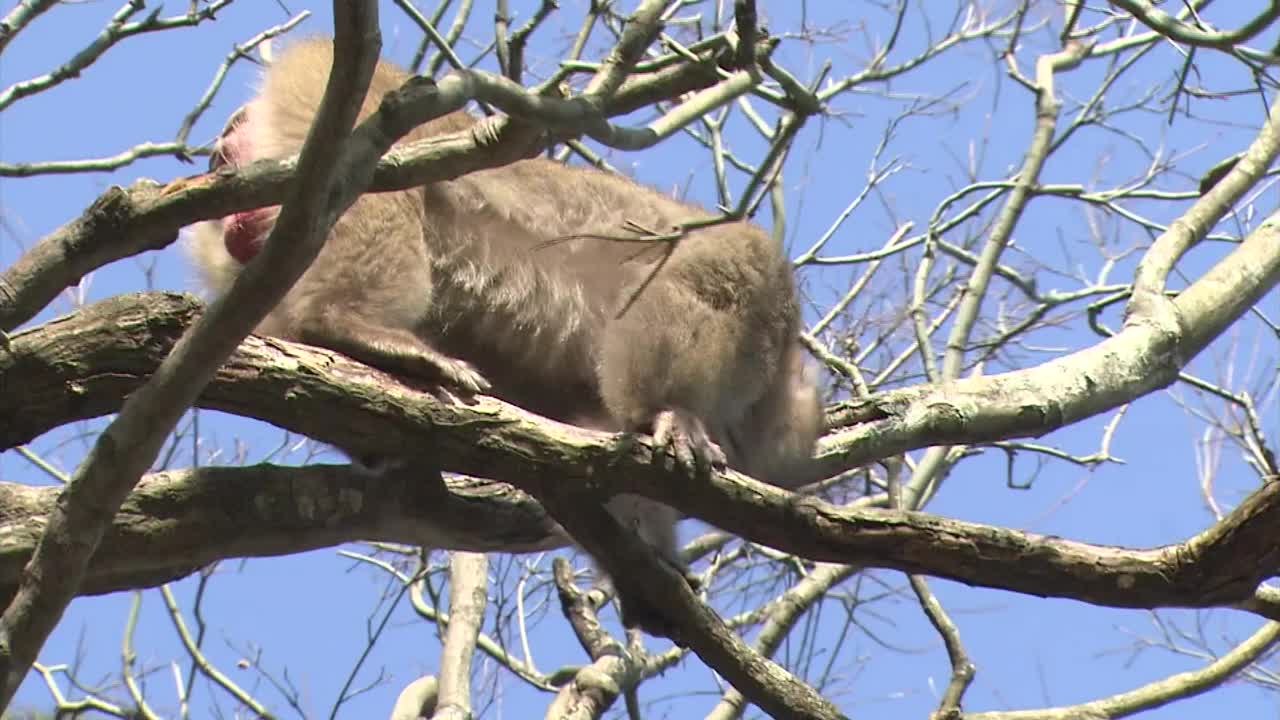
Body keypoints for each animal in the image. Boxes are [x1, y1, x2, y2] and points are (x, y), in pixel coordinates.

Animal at [192, 39, 819, 630]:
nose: (222, 164)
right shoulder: (758, 292)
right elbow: (714, 273)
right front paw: (670, 411)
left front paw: (646, 566)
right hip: (342, 97)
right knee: (376, 179)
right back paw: (345, 322)